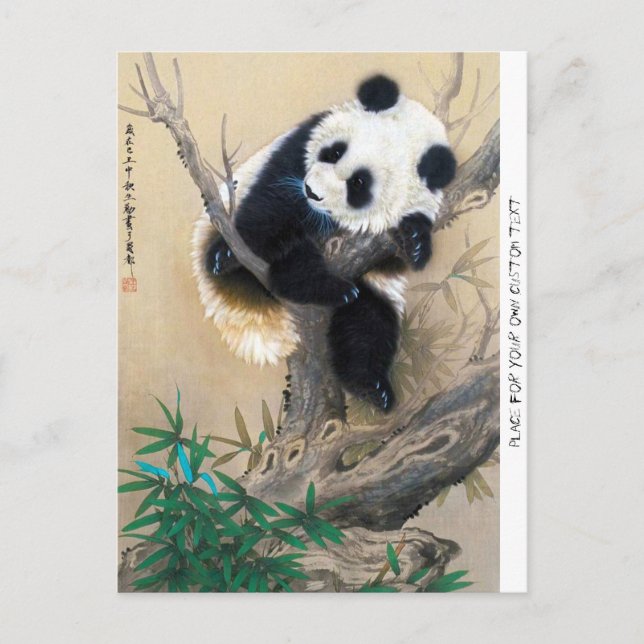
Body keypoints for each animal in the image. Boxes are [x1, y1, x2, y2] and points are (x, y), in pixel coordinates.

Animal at [192, 75, 456, 412]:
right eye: (334, 152)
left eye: (359, 183)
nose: (312, 192)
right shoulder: (298, 146)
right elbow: (273, 203)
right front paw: (227, 254)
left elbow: (399, 254)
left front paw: (414, 239)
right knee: (294, 263)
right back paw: (324, 286)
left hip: (368, 296)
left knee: (368, 322)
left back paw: (372, 386)